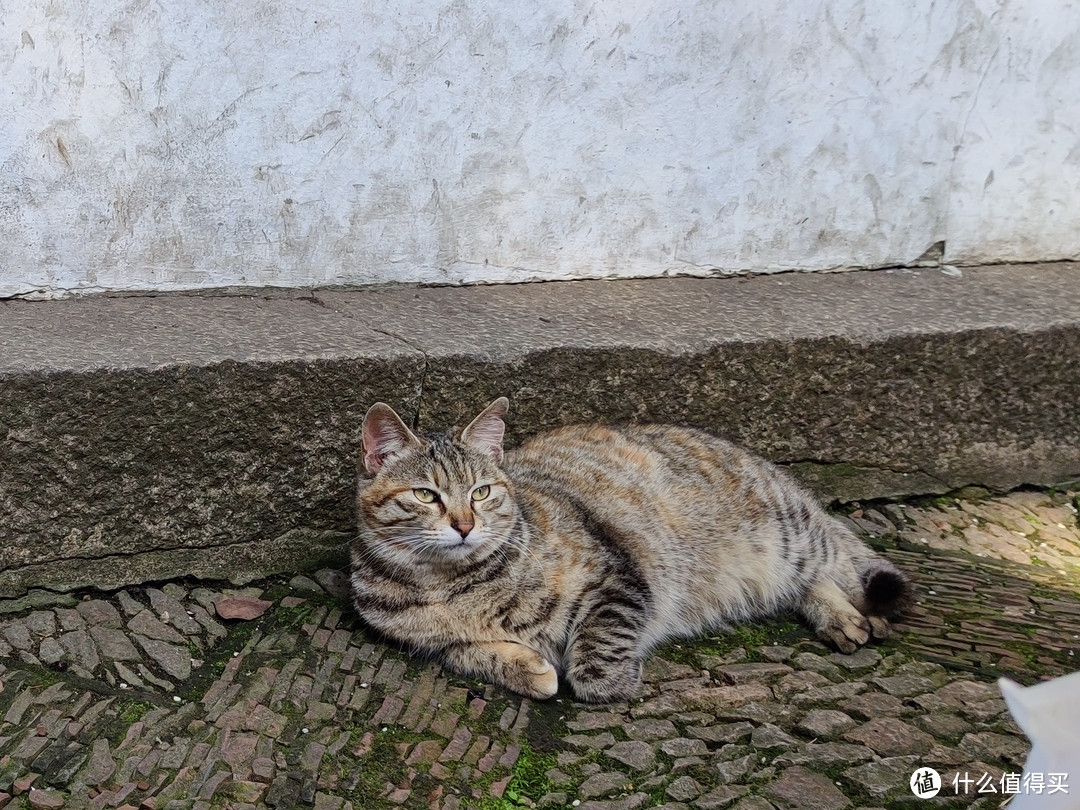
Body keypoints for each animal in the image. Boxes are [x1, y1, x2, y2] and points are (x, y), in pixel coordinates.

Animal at [352, 399, 911, 704]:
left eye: (483, 492)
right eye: (427, 495)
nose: (466, 525)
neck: (451, 584)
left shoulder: (616, 577)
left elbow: (596, 655)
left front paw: (615, 680)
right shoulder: (435, 645)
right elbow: (476, 652)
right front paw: (531, 669)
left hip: (793, 537)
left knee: (843, 557)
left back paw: (851, 611)